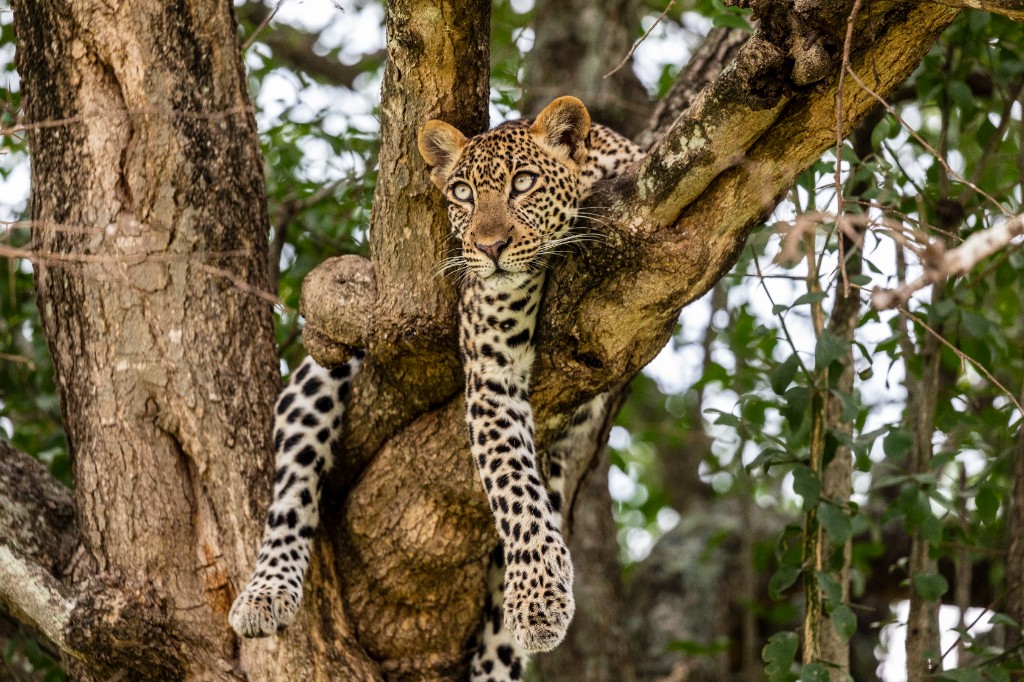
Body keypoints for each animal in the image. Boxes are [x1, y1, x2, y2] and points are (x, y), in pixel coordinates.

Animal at [229, 96, 644, 682]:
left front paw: (534, 603)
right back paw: (265, 594)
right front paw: (539, 597)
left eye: (523, 183)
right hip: (322, 371)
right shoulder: (492, 371)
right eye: (463, 194)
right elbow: (514, 490)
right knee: (290, 494)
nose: (490, 247)